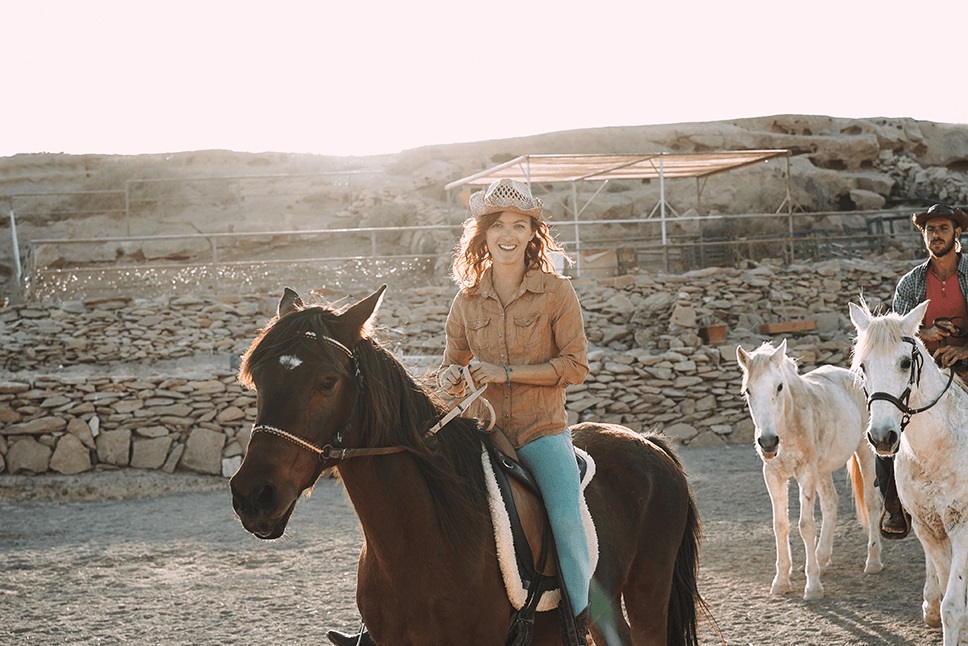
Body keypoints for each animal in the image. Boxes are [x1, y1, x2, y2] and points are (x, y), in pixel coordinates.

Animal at [229, 288, 712, 646]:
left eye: (327, 381)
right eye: (259, 378)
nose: (253, 496)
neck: (422, 540)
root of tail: (646, 442)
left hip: (649, 590)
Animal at [736, 342, 880, 600]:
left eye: (779, 386)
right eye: (748, 391)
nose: (768, 443)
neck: (789, 423)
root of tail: (851, 376)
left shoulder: (806, 473)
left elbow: (806, 525)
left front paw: (812, 587)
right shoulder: (773, 476)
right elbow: (780, 525)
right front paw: (781, 582)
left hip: (864, 452)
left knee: (872, 501)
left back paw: (873, 562)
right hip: (822, 469)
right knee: (831, 502)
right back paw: (822, 560)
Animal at [852, 302, 968, 644]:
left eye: (905, 363)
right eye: (863, 366)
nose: (881, 437)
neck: (935, 450)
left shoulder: (962, 525)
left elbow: (953, 606)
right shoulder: (929, 527)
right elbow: (948, 599)